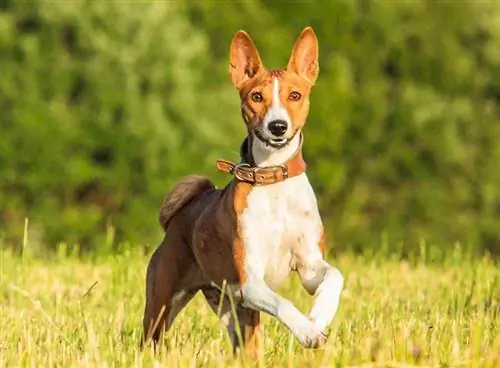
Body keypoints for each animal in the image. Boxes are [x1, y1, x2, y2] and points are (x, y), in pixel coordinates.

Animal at [141, 26, 344, 360]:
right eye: (256, 97)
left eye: (295, 95)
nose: (278, 126)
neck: (274, 182)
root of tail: (179, 219)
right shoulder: (250, 281)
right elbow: (283, 302)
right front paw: (307, 331)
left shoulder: (309, 265)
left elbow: (334, 277)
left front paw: (318, 318)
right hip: (163, 305)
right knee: (150, 339)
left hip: (232, 310)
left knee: (245, 347)